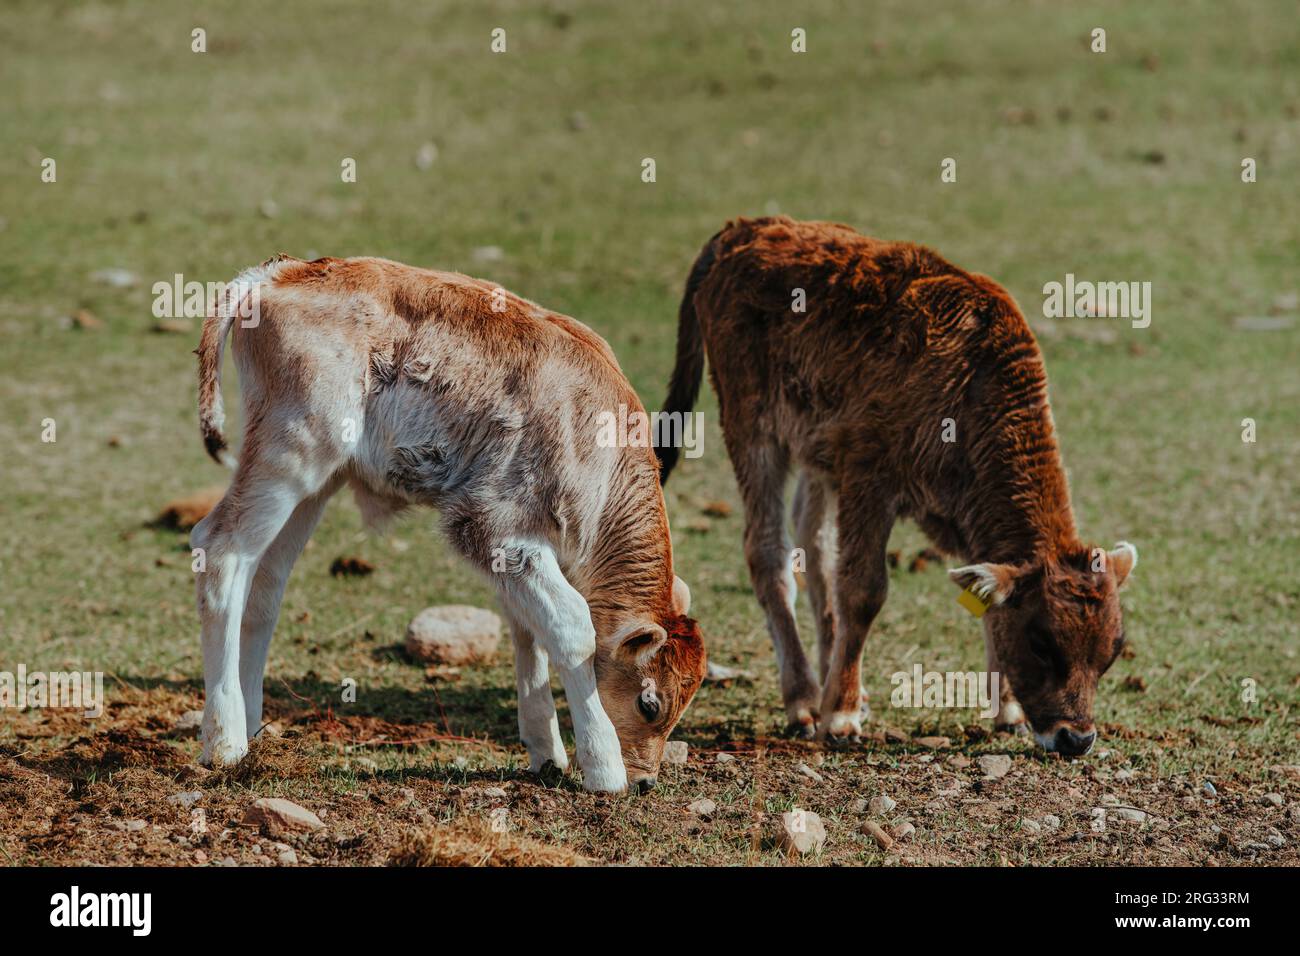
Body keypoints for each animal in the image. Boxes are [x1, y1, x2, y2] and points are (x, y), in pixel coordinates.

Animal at [188, 254, 707, 790]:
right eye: (650, 703)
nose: (646, 780)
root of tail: (283, 272)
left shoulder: (515, 552)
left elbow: (529, 631)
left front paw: (546, 752)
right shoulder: (496, 525)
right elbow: (571, 630)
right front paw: (605, 768)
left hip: (313, 487)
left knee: (264, 585)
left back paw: (252, 729)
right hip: (291, 454)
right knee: (222, 551)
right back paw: (225, 743)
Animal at [655, 217, 1133, 754]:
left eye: (1113, 650)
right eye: (1041, 641)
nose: (1076, 737)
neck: (969, 381)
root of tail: (742, 230)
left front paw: (1006, 711)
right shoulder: (870, 480)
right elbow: (863, 590)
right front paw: (840, 718)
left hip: (817, 457)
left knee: (814, 548)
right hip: (752, 431)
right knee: (769, 553)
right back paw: (805, 702)